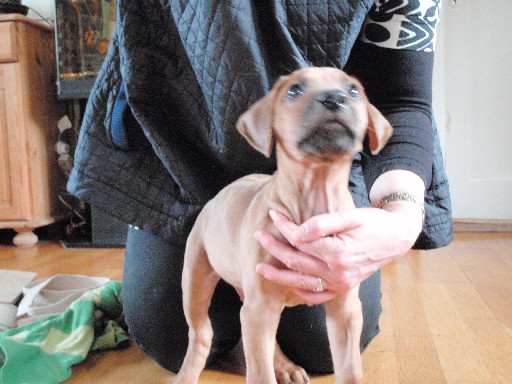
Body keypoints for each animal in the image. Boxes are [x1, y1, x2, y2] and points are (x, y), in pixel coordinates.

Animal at [171, 67, 392, 382]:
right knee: (201, 335)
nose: (334, 98)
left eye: (353, 91)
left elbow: (350, 370)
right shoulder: (259, 307)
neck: (313, 198)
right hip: (196, 278)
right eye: (294, 90)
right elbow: (260, 373)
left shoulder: (345, 309)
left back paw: (285, 367)